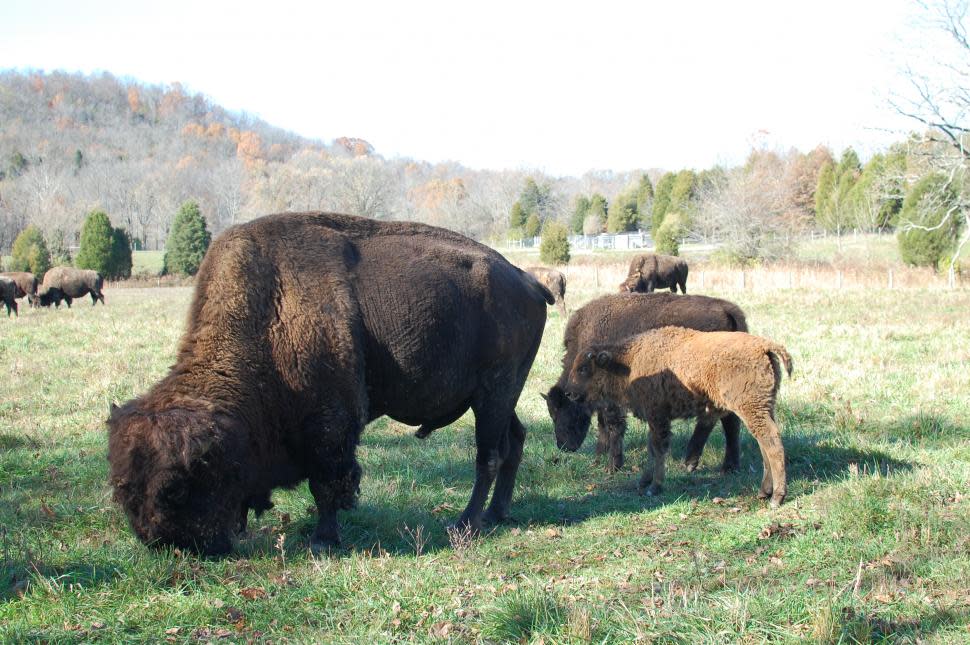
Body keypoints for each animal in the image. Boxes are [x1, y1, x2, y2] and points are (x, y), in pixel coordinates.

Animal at [107, 210, 552, 552]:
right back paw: (497, 513)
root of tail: (527, 281)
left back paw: (466, 522)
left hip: (493, 393)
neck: (268, 311)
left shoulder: (329, 425)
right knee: (514, 441)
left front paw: (323, 539)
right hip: (499, 397)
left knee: (488, 455)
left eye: (176, 488)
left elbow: (325, 483)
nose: (162, 541)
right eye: (124, 489)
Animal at [544, 292, 748, 472]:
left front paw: (612, 466)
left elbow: (613, 426)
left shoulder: (613, 400)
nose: (563, 446)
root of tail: (727, 310)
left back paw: (693, 462)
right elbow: (603, 426)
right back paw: (729, 467)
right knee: (730, 421)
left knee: (712, 418)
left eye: (560, 410)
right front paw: (598, 459)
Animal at [564, 328, 792, 508]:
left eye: (583, 368)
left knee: (772, 443)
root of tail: (764, 346)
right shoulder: (655, 418)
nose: (568, 392)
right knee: (764, 444)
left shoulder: (658, 417)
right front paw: (643, 482)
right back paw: (764, 492)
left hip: (751, 408)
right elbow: (652, 449)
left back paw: (776, 498)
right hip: (763, 407)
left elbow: (658, 450)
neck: (629, 360)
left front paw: (654, 487)